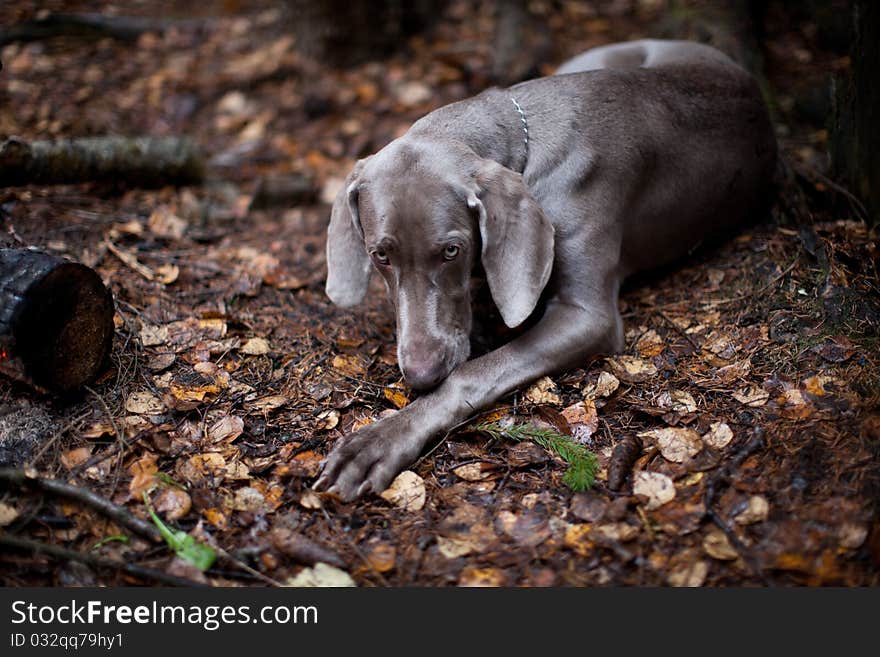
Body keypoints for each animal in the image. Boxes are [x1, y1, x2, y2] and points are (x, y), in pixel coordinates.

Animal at [312, 39, 772, 502]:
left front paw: (379, 441)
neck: (524, 140)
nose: (422, 376)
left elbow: (472, 373)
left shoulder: (587, 316)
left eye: (451, 250)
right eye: (380, 256)